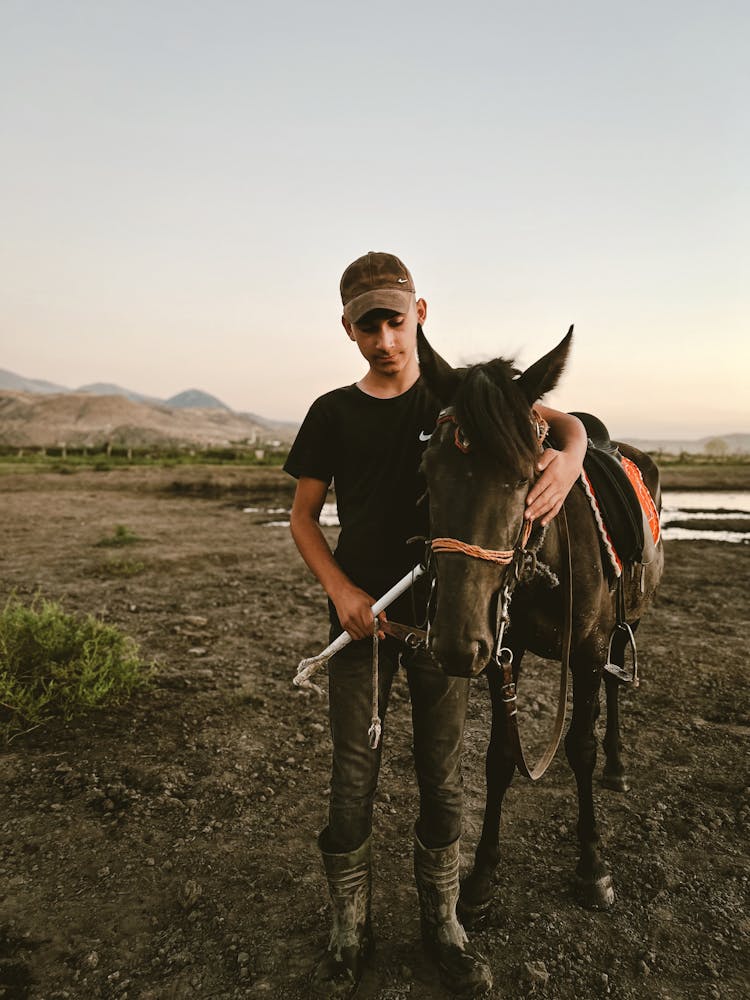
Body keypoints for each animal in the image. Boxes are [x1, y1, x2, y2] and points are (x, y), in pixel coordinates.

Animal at [420, 326, 668, 916]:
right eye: (428, 471)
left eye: (525, 477)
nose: (456, 645)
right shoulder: (501, 654)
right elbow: (500, 756)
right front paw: (482, 874)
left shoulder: (587, 651)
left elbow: (579, 747)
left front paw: (592, 866)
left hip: (622, 628)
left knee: (615, 687)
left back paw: (617, 765)